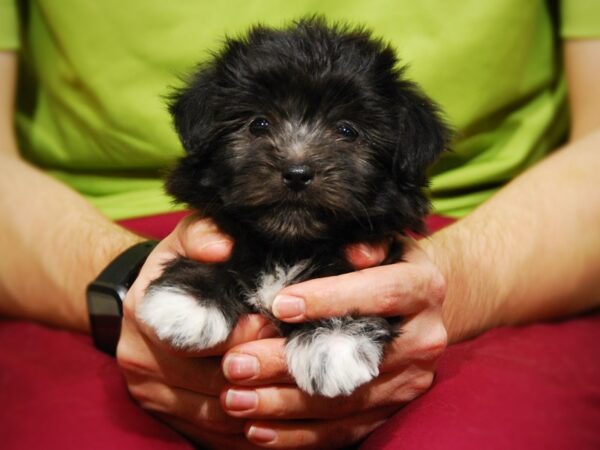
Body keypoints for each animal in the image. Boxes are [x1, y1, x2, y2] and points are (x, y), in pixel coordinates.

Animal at [138, 17, 448, 398]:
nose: (297, 173)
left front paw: (333, 341)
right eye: (259, 123)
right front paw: (191, 299)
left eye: (347, 130)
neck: (287, 245)